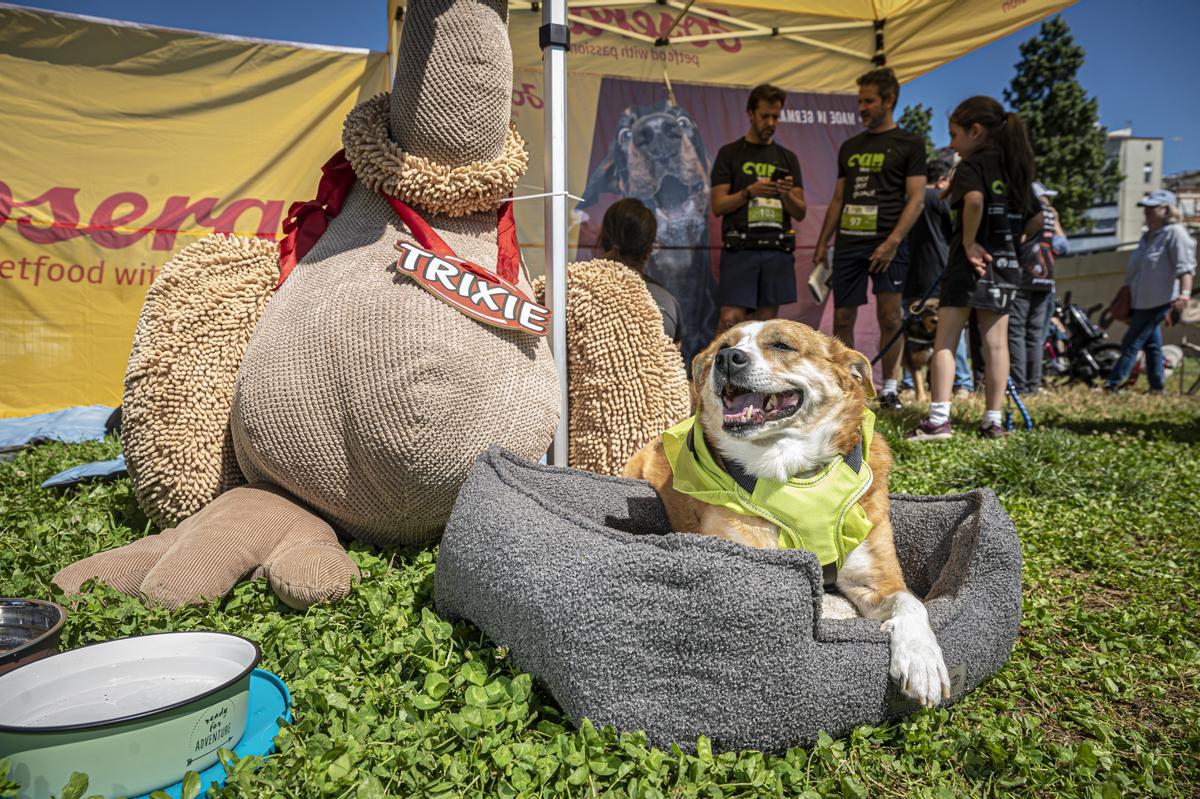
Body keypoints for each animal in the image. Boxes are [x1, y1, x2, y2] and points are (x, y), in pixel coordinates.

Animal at [624, 316, 950, 705]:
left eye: (782, 345)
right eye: (723, 347)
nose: (727, 358)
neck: (794, 474)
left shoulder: (876, 577)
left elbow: (911, 603)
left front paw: (922, 659)